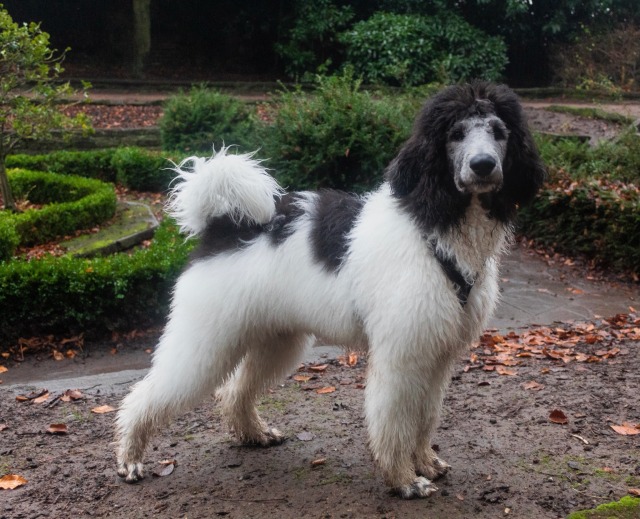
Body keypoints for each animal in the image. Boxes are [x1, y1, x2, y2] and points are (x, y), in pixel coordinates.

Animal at [115, 82, 544, 500]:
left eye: (499, 132)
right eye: (455, 134)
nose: (483, 165)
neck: (434, 223)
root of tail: (225, 226)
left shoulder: (437, 354)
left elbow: (425, 417)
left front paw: (424, 462)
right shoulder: (402, 354)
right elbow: (395, 420)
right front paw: (403, 479)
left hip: (276, 338)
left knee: (234, 392)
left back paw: (254, 433)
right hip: (204, 342)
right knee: (145, 395)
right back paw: (130, 457)